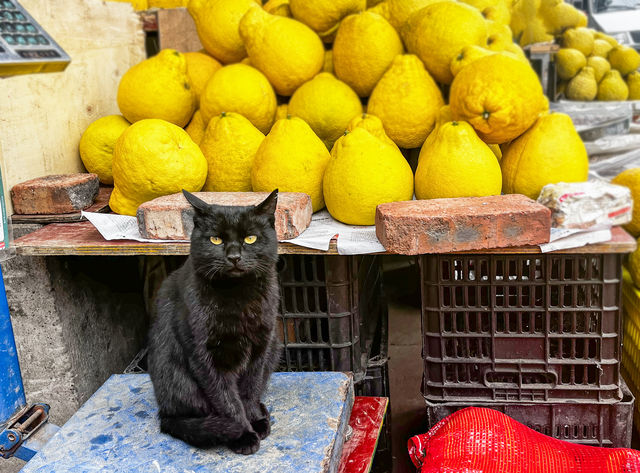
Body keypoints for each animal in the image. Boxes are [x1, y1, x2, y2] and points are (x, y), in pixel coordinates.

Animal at [149, 189, 282, 454]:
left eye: (250, 238)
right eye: (216, 240)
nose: (234, 257)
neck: (238, 296)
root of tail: (163, 412)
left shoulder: (260, 349)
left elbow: (250, 390)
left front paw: (255, 421)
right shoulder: (206, 357)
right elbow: (227, 401)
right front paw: (243, 434)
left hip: (275, 347)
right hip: (173, 373)